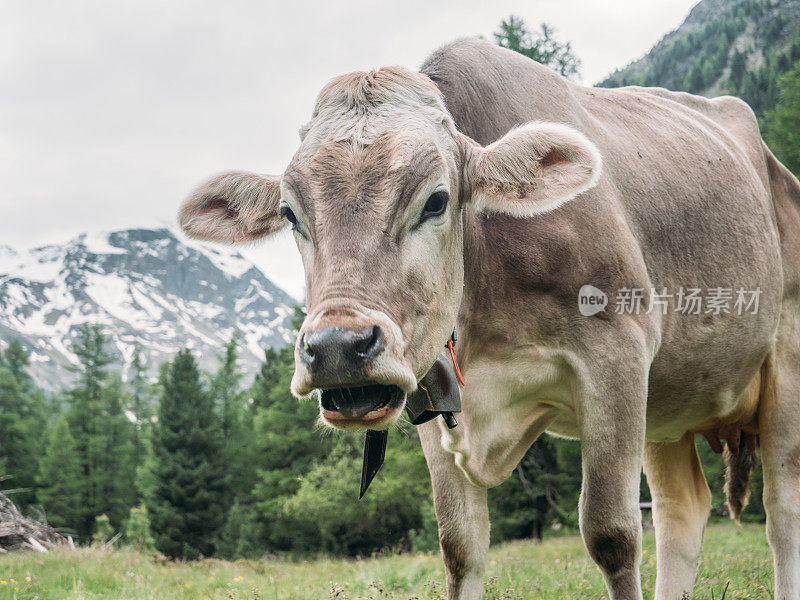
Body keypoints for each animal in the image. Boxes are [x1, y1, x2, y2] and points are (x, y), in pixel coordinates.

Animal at [178, 38, 800, 600]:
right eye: (290, 213)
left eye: (435, 200)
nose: (337, 347)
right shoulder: (427, 389)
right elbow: (460, 545)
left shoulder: (616, 355)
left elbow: (613, 534)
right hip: (668, 402)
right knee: (681, 510)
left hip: (784, 359)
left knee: (782, 509)